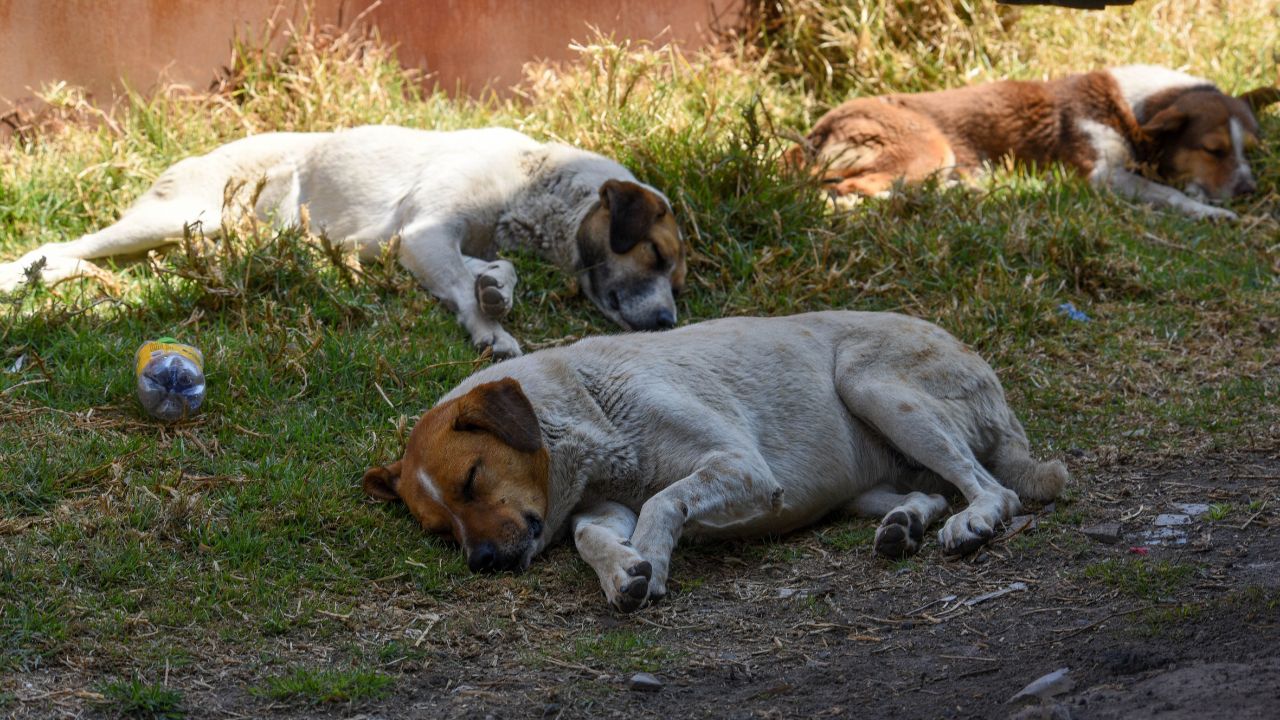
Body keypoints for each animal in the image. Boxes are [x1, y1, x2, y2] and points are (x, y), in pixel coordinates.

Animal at [0, 126, 686, 358]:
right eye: (652, 254)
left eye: (676, 280)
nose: (667, 325)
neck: (531, 179)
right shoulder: (423, 234)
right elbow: (463, 283)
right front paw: (491, 328)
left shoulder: (431, 243)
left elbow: (489, 271)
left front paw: (496, 288)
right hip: (172, 216)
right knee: (69, 245)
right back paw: (19, 276)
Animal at [363, 311, 1070, 607]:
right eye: (440, 530)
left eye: (473, 478)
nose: (482, 563)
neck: (586, 404)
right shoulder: (603, 508)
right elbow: (595, 538)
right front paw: (622, 572)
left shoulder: (742, 469)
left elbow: (663, 499)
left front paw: (652, 561)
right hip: (861, 482)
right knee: (929, 492)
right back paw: (905, 526)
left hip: (873, 386)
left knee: (992, 489)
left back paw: (973, 522)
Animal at [793, 66, 1274, 219]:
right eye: (1213, 149)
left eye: (1249, 150)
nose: (1250, 191)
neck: (1130, 109)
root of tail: (820, 127)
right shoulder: (1103, 176)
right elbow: (1168, 193)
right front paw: (1211, 212)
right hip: (928, 147)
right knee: (847, 189)